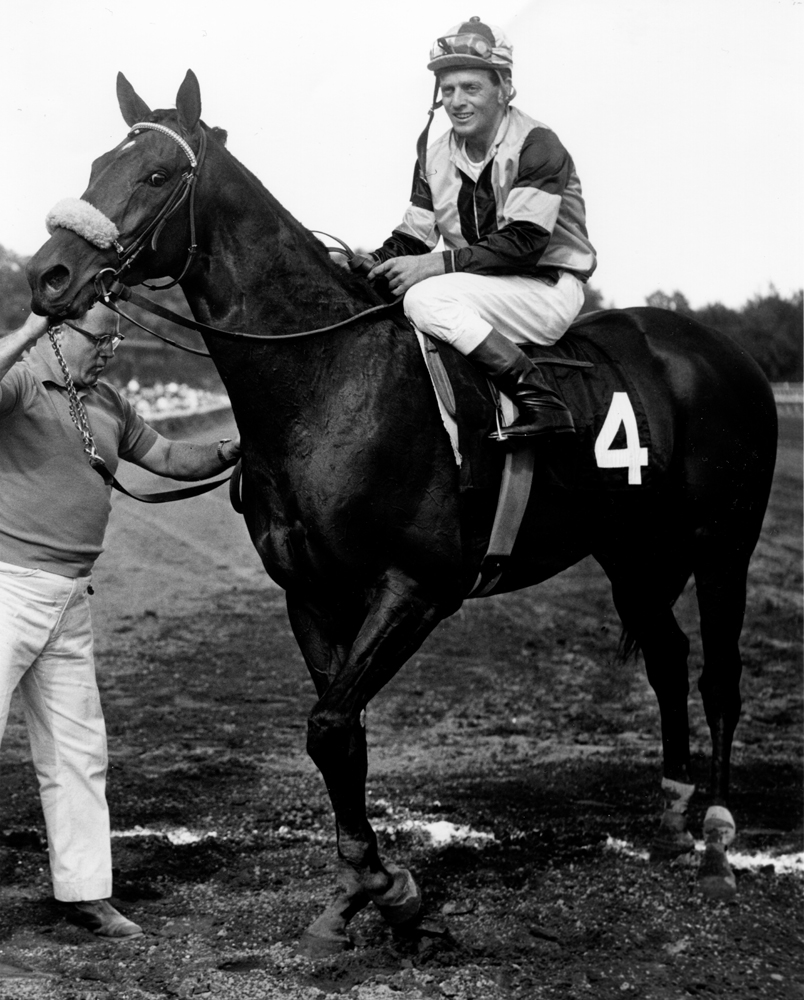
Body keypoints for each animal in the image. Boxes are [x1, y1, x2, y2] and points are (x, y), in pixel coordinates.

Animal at [28, 72, 776, 952]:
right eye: (95, 165)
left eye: (153, 175)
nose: (47, 274)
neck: (328, 379)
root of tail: (723, 352)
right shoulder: (311, 596)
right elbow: (340, 732)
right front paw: (363, 889)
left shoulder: (416, 588)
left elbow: (328, 725)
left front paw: (386, 888)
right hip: (629, 548)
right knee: (666, 656)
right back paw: (672, 817)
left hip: (724, 542)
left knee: (719, 674)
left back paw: (719, 840)